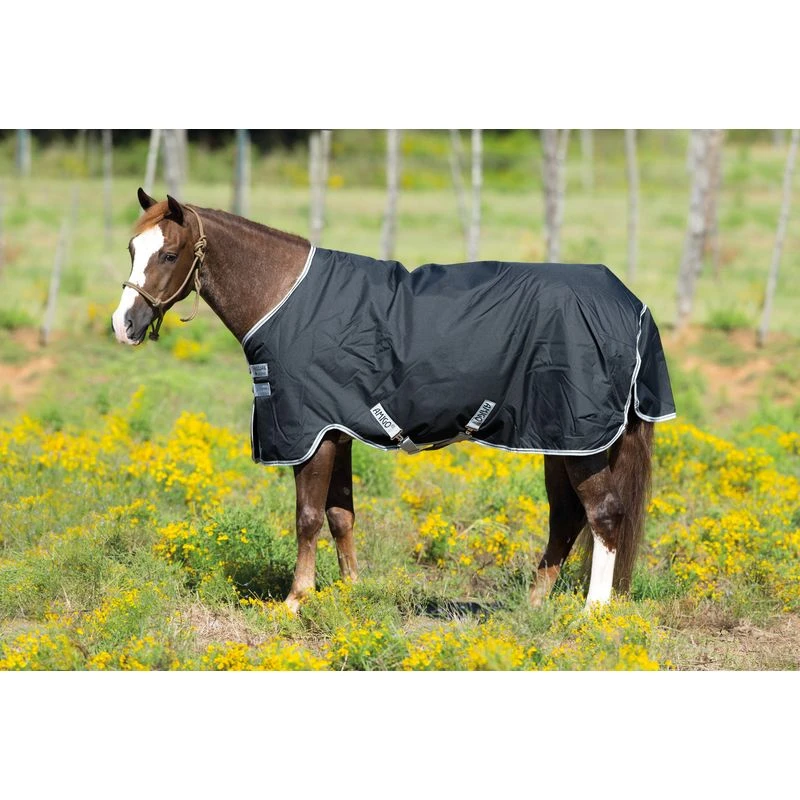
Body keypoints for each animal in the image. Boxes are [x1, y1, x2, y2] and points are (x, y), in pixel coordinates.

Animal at [112, 189, 676, 613]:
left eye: (168, 254)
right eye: (131, 249)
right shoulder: (336, 430)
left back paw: (592, 613)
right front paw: (351, 591)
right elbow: (340, 514)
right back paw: (534, 606)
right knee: (566, 518)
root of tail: (633, 304)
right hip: (560, 439)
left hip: (581, 439)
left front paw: (295, 601)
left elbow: (307, 516)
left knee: (603, 514)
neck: (286, 299)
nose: (125, 325)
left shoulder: (311, 434)